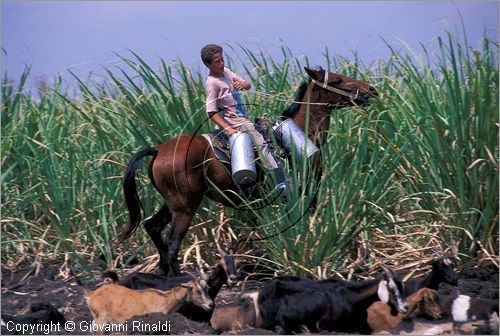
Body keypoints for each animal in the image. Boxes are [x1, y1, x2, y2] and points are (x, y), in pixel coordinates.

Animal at [117, 66, 376, 276]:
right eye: (337, 80)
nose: (371, 89)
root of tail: (159, 150)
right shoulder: (300, 197)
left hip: (173, 203)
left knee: (152, 226)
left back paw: (161, 272)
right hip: (185, 207)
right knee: (172, 243)